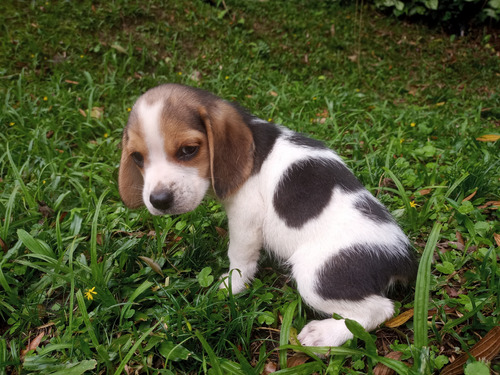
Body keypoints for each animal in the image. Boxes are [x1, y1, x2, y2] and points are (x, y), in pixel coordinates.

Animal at [119, 83, 416, 348]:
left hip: (315, 275)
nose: (159, 201)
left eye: (188, 150)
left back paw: (323, 335)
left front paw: (232, 286)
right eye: (137, 157)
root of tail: (402, 258)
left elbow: (239, 257)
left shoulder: (245, 218)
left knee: (379, 310)